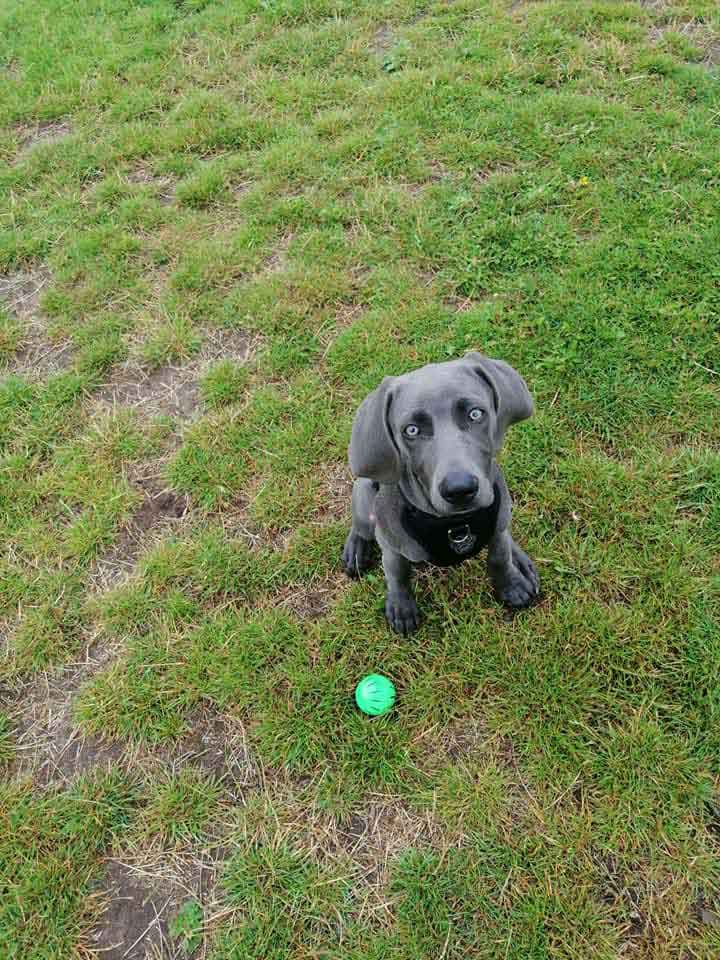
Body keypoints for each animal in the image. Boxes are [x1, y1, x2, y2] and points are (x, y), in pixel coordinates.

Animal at [344, 348, 540, 632]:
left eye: (475, 414)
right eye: (411, 430)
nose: (459, 490)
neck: (456, 523)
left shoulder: (498, 523)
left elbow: (499, 555)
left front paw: (511, 584)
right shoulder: (391, 546)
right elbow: (397, 574)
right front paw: (401, 607)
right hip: (364, 495)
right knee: (361, 527)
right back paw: (356, 547)